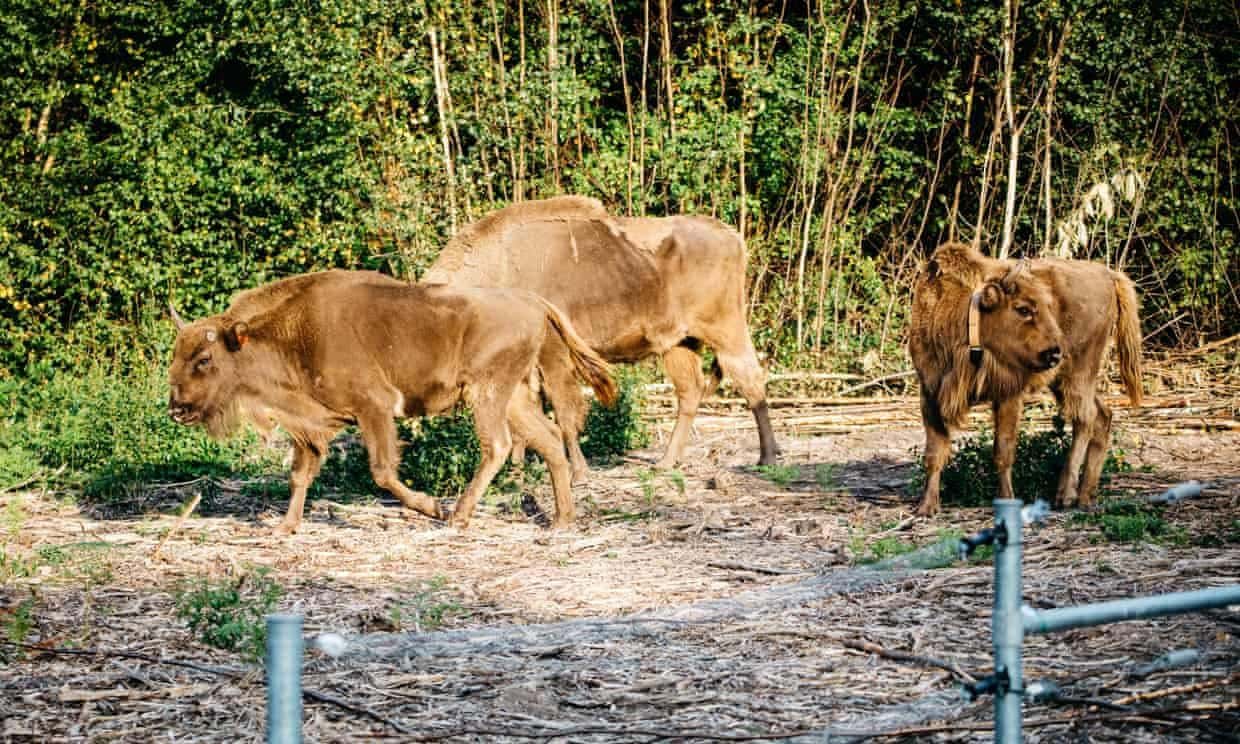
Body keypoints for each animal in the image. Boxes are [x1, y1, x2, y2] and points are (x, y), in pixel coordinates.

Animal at [168, 272, 615, 535]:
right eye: (176, 354)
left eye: (204, 359)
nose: (176, 408)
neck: (294, 336)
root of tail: (533, 302)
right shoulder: (310, 426)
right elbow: (300, 474)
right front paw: (286, 527)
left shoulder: (374, 409)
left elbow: (382, 472)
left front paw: (432, 507)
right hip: (514, 398)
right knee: (550, 439)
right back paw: (561, 521)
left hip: (485, 393)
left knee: (498, 446)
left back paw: (458, 516)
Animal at [426, 194, 773, 478]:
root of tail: (730, 235)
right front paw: (519, 468)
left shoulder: (554, 356)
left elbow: (563, 411)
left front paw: (578, 472)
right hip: (678, 343)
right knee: (690, 392)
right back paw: (666, 462)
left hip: (727, 330)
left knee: (750, 380)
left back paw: (767, 458)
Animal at [907, 241, 1145, 513]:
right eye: (1023, 309)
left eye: (1045, 306)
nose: (1055, 352)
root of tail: (1109, 276)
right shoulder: (930, 393)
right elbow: (934, 452)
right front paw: (927, 506)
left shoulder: (1008, 394)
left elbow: (1003, 451)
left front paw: (1007, 499)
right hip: (1063, 380)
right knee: (1102, 416)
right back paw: (1086, 495)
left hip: (1079, 373)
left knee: (1085, 418)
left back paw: (1066, 495)